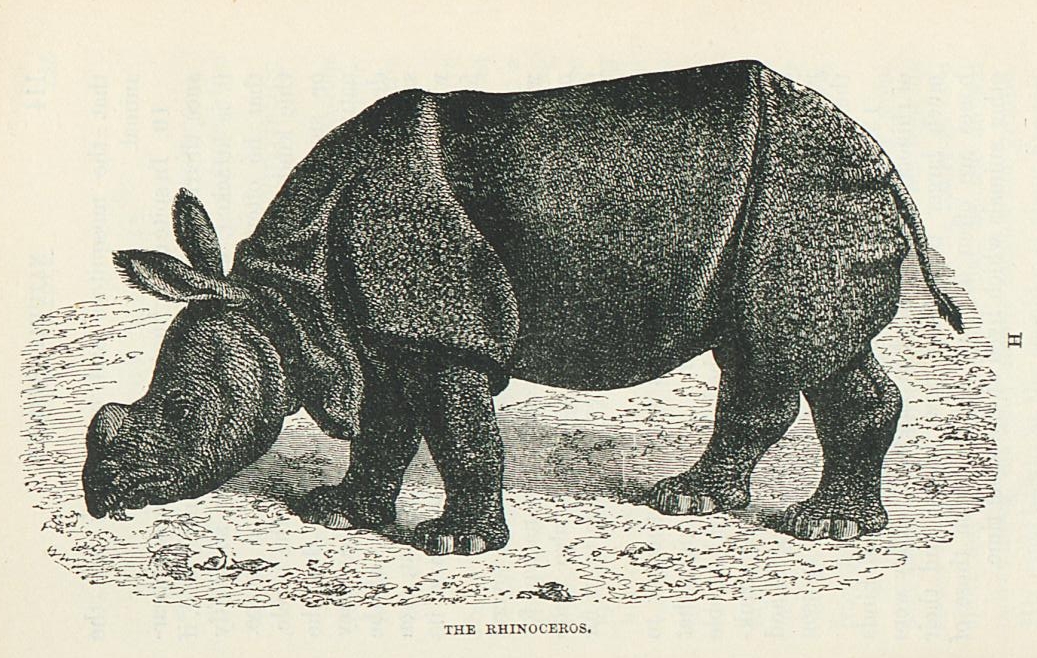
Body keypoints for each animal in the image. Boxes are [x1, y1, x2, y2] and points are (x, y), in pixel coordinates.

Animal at [82, 60, 963, 555]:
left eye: (184, 411)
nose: (101, 497)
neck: (286, 301)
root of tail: (880, 156)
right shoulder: (380, 331)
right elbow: (385, 428)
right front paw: (336, 515)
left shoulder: (440, 330)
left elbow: (458, 434)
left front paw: (454, 545)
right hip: (811, 191)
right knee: (799, 355)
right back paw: (793, 520)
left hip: (804, 190)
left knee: (780, 344)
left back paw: (784, 523)